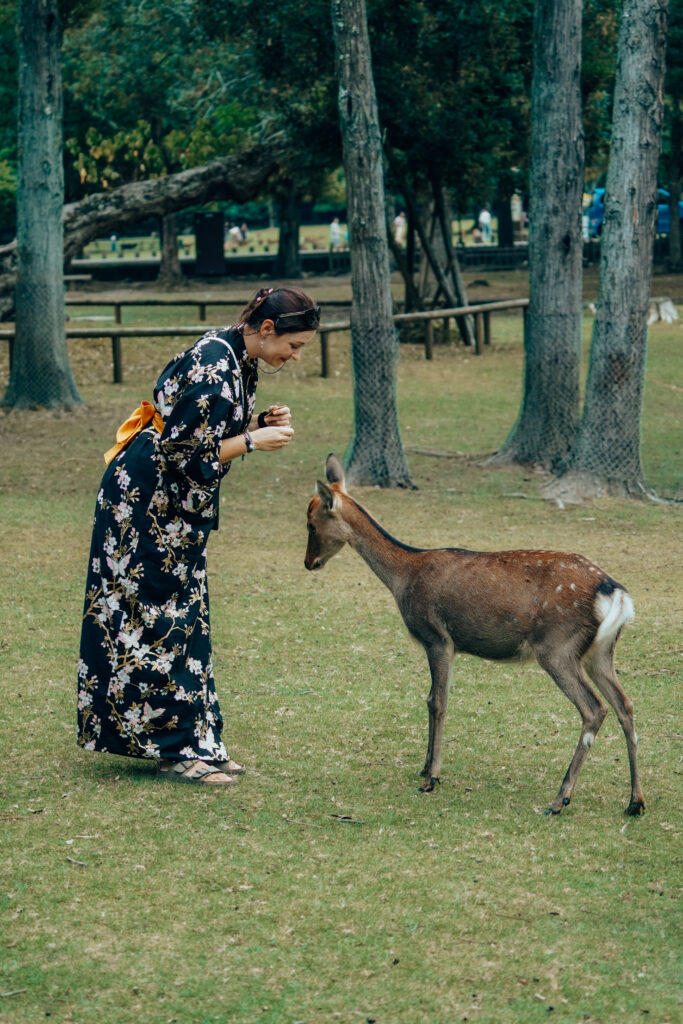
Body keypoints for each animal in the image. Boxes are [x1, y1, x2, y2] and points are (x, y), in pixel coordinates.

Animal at [305, 456, 647, 815]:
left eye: (311, 524)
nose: (309, 563)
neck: (403, 575)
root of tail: (614, 591)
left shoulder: (437, 637)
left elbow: (436, 701)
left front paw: (431, 778)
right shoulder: (445, 644)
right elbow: (433, 698)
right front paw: (425, 768)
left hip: (557, 648)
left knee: (594, 708)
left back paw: (560, 799)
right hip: (600, 652)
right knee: (625, 705)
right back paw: (635, 801)